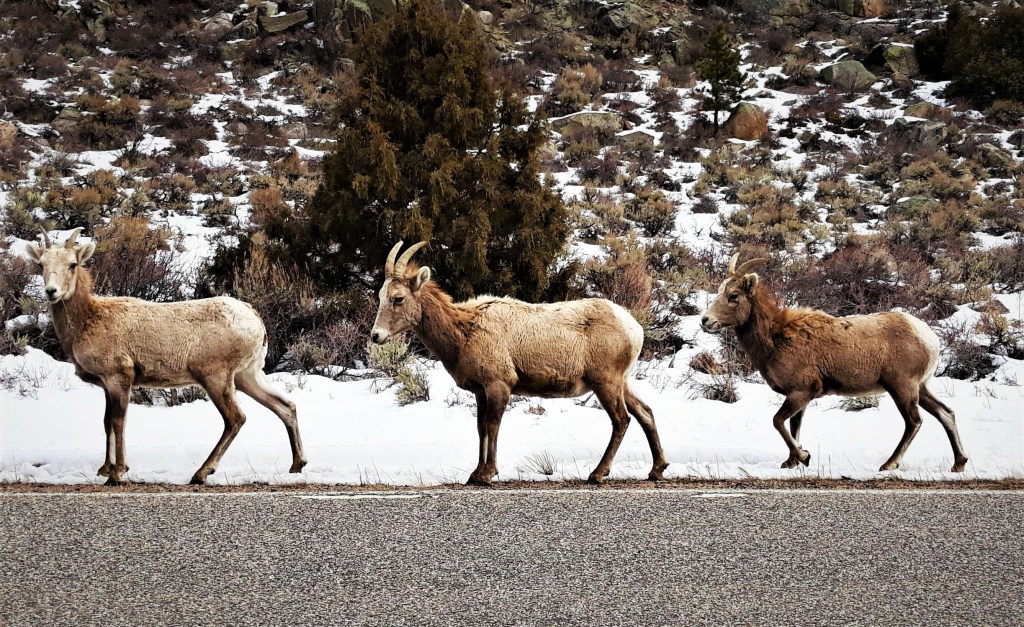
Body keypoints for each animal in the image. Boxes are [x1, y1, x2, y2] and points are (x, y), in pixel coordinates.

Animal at [25, 228, 307, 486]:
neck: (87, 321)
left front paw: (117, 473)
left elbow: (118, 421)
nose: (51, 291)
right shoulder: (106, 383)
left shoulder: (119, 375)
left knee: (236, 418)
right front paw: (104, 469)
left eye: (72, 264)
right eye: (41, 264)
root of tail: (256, 321)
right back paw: (297, 464)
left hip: (216, 375)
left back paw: (201, 473)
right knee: (286, 406)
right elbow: (106, 422)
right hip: (248, 374)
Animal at [370, 241, 669, 485]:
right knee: (645, 412)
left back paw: (597, 473)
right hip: (622, 381)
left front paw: (487, 474)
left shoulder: (499, 384)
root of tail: (635, 329)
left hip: (605, 381)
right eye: (381, 296)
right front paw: (474, 473)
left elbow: (493, 425)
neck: (463, 331)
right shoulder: (481, 390)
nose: (376, 335)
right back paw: (657, 469)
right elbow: (480, 428)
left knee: (621, 419)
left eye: (398, 298)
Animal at [700, 254, 969, 473]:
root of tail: (929, 339)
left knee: (914, 422)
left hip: (902, 387)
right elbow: (793, 427)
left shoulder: (801, 392)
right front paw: (792, 462)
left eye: (733, 296)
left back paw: (888, 464)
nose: (705, 320)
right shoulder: (801, 398)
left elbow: (778, 422)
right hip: (921, 387)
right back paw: (958, 463)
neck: (775, 338)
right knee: (946, 413)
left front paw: (804, 457)